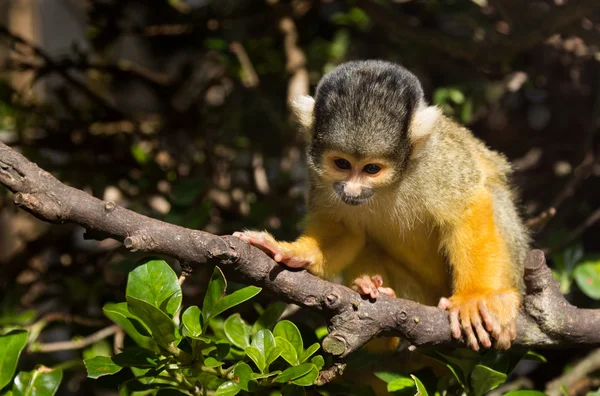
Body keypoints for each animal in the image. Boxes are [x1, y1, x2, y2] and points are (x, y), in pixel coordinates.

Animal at [232, 60, 528, 352]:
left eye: (372, 169)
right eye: (342, 164)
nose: (351, 190)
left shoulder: (437, 160)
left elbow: (468, 207)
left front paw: (474, 296)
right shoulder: (319, 176)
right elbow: (345, 228)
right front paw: (293, 253)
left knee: (494, 194)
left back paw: (500, 300)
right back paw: (374, 300)